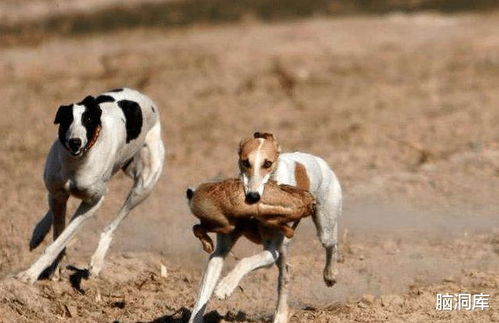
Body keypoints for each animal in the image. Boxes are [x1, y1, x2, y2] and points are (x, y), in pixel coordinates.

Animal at [17, 88, 165, 284]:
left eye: (88, 120)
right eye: (67, 119)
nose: (75, 142)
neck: (76, 163)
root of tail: (142, 96)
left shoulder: (93, 202)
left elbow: (60, 240)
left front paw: (31, 274)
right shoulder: (58, 193)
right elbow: (58, 234)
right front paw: (53, 269)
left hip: (144, 186)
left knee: (111, 226)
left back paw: (96, 262)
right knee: (53, 210)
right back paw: (39, 232)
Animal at [189, 132, 342, 323]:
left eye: (267, 163)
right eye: (245, 162)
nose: (252, 197)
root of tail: (321, 162)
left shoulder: (271, 252)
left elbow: (245, 261)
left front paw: (225, 286)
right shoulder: (220, 252)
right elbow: (202, 295)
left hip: (324, 227)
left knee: (331, 245)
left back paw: (330, 275)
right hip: (284, 249)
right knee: (286, 274)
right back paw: (281, 314)